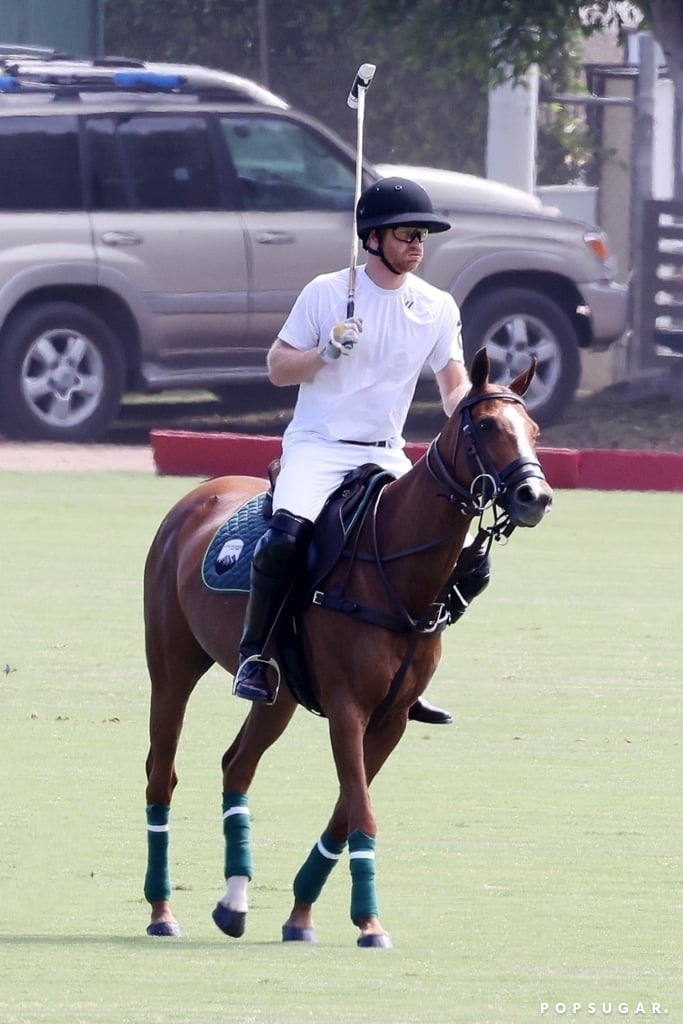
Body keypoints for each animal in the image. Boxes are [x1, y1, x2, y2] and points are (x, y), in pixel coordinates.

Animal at [141, 348, 552, 946]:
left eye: (534, 430)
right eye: (487, 426)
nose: (534, 497)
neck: (397, 571)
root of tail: (195, 496)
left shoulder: (391, 718)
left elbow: (346, 810)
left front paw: (301, 916)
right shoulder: (347, 707)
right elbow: (362, 810)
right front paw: (370, 922)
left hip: (280, 694)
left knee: (237, 764)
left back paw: (234, 901)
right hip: (172, 668)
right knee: (162, 773)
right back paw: (161, 911)